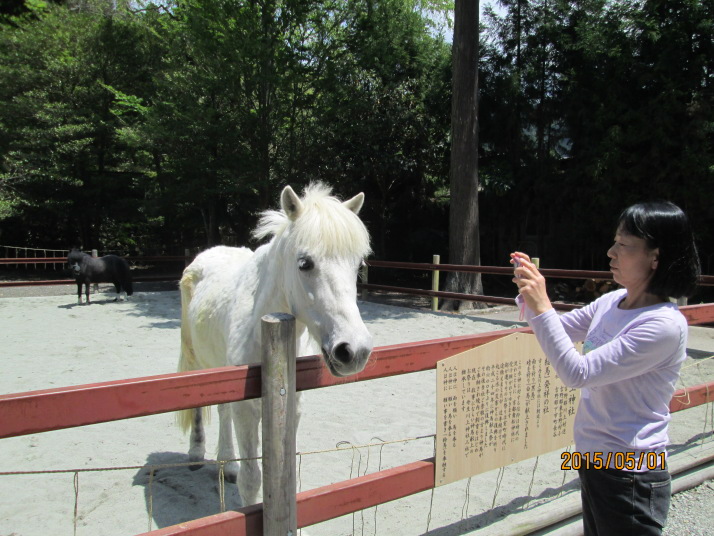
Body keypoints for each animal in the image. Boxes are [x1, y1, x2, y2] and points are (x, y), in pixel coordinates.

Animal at [177, 183, 373, 506]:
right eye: (304, 263)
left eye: (358, 265)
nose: (354, 350)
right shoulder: (246, 410)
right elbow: (251, 480)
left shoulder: (291, 406)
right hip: (195, 360)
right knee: (199, 406)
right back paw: (195, 453)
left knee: (222, 410)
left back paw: (227, 464)